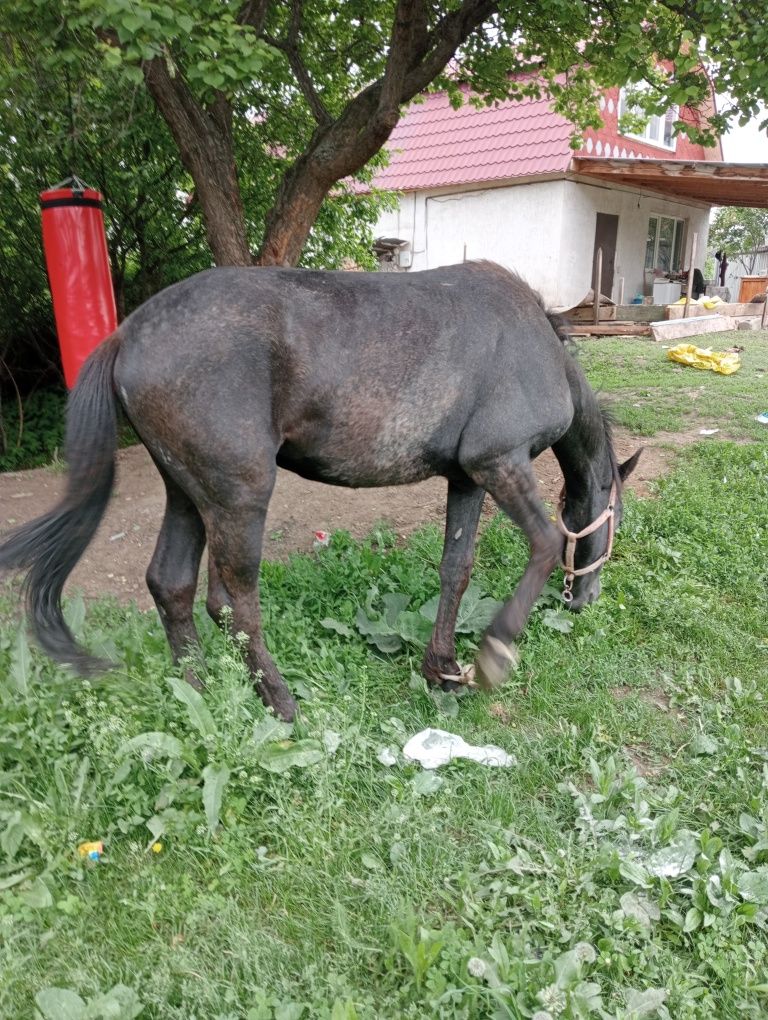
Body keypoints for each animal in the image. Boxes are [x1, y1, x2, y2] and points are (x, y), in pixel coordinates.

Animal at [0, 263, 636, 726]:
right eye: (616, 517)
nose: (586, 598)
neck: (539, 346)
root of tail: (126, 334)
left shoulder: (467, 479)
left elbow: (456, 568)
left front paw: (443, 667)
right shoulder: (498, 462)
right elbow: (547, 542)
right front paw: (494, 652)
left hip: (186, 493)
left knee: (170, 584)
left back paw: (199, 693)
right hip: (238, 496)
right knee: (232, 602)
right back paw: (281, 704)